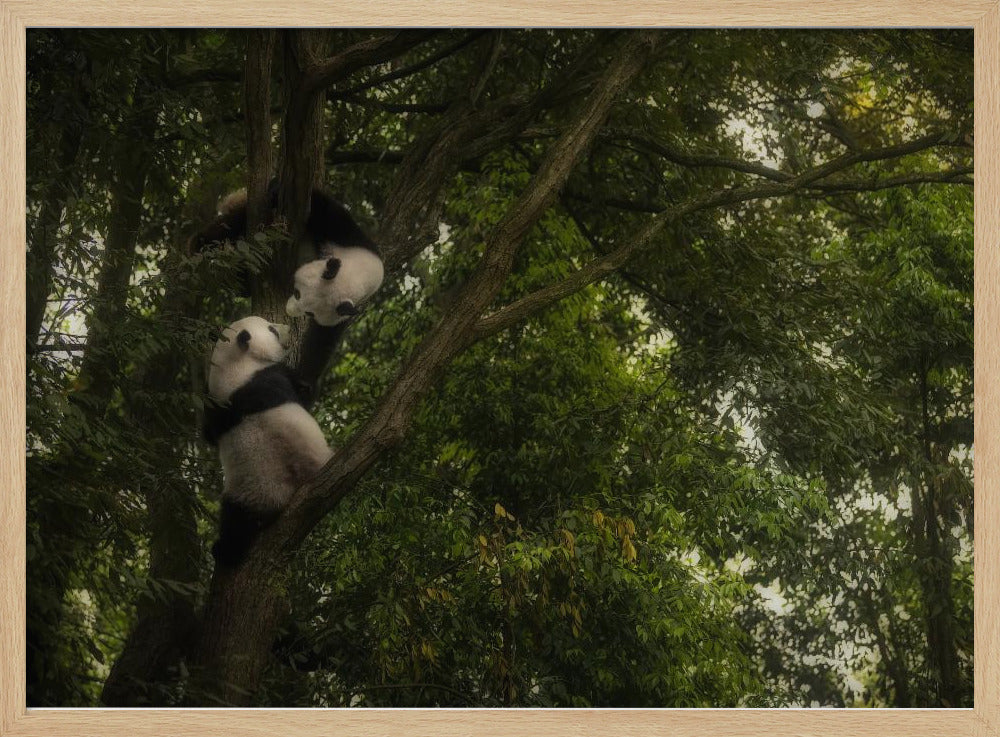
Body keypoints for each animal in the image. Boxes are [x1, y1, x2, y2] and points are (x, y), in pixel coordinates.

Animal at [204, 315, 333, 567]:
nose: (289, 328)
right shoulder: (272, 377)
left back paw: (225, 551)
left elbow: (208, 434)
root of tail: (279, 499)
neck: (233, 369)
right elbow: (304, 392)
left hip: (243, 492)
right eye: (272, 329)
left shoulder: (217, 409)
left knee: (234, 519)